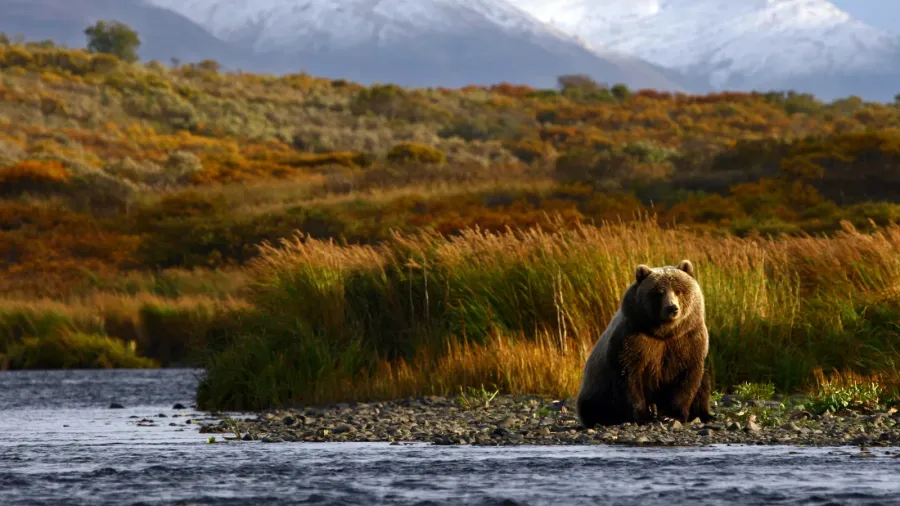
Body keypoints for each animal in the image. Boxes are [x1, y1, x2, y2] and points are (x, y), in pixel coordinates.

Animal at [575, 259, 713, 428]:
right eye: (659, 292)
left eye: (679, 290)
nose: (672, 308)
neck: (664, 332)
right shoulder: (634, 339)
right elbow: (630, 378)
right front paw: (643, 417)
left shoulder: (687, 338)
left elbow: (686, 378)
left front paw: (672, 415)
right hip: (597, 388)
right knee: (595, 407)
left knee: (704, 381)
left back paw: (705, 415)